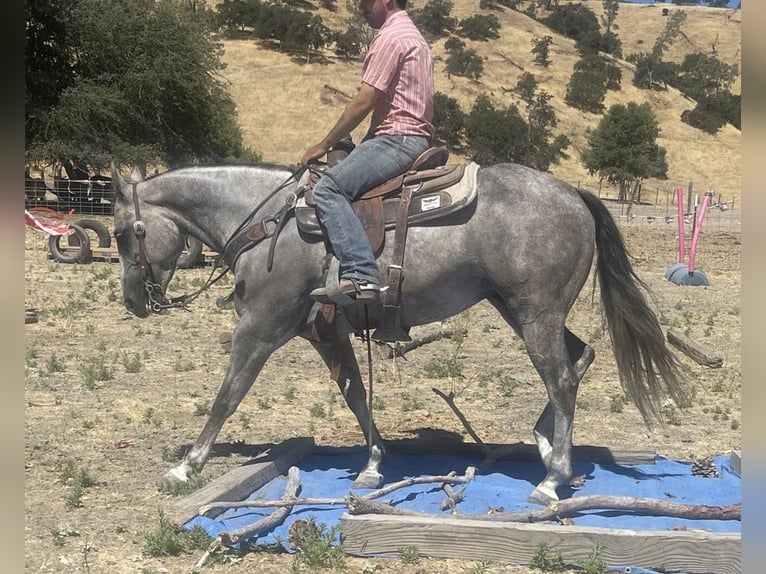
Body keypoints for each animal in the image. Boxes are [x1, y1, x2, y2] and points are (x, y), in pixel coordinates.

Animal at [111, 162, 688, 504]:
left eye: (120, 233)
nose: (134, 302)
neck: (267, 223)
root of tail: (572, 192)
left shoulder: (258, 330)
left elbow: (227, 397)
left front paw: (186, 466)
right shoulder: (326, 335)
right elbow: (355, 395)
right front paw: (371, 464)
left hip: (535, 315)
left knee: (562, 379)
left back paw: (552, 480)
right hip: (517, 310)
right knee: (580, 358)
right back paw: (546, 446)